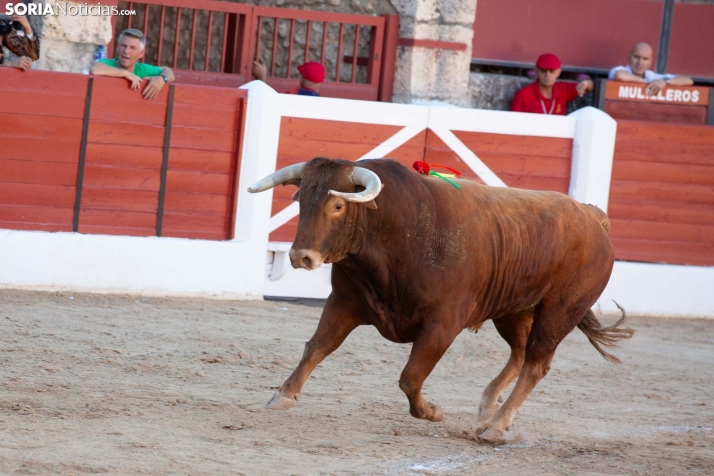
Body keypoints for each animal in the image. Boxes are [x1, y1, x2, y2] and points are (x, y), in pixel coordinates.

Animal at [248, 157, 632, 442]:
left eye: (338, 205)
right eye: (300, 201)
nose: (300, 256)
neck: (396, 230)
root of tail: (592, 217)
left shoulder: (442, 326)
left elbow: (410, 376)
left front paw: (432, 412)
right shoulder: (343, 304)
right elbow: (316, 347)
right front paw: (282, 396)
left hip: (559, 310)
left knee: (536, 362)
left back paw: (495, 427)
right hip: (514, 309)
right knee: (521, 353)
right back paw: (489, 410)